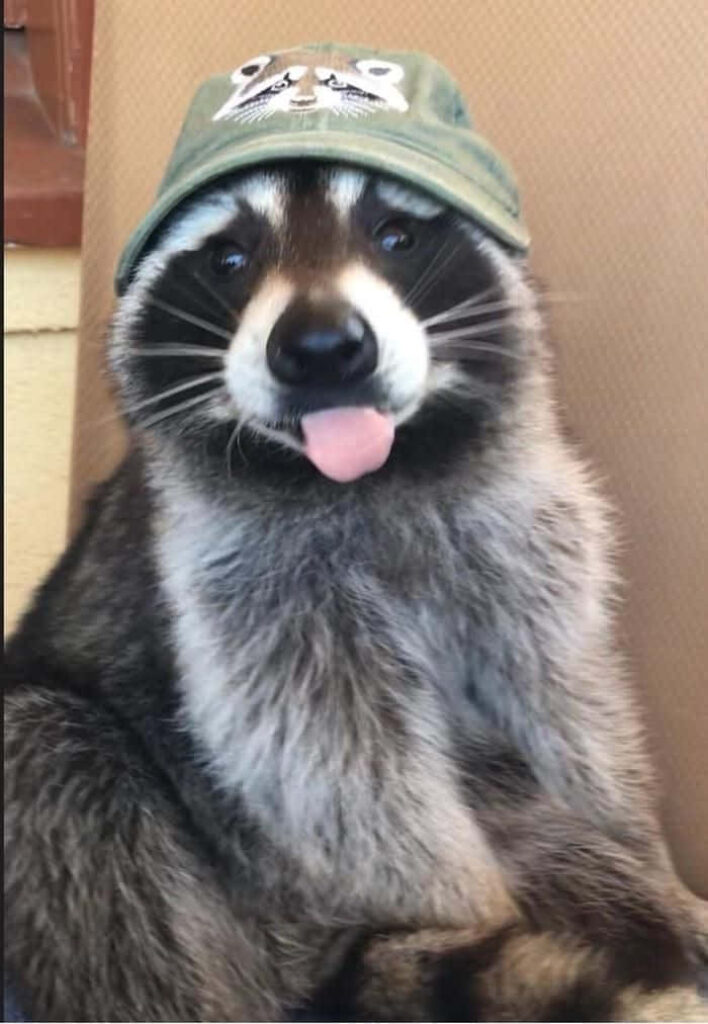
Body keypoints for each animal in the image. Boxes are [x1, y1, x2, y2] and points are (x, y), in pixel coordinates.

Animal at [4, 162, 708, 1022]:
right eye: (230, 258)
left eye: (394, 235)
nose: (320, 348)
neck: (379, 472)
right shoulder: (239, 589)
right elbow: (343, 777)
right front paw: (465, 912)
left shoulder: (530, 531)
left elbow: (569, 701)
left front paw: (640, 841)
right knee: (57, 762)